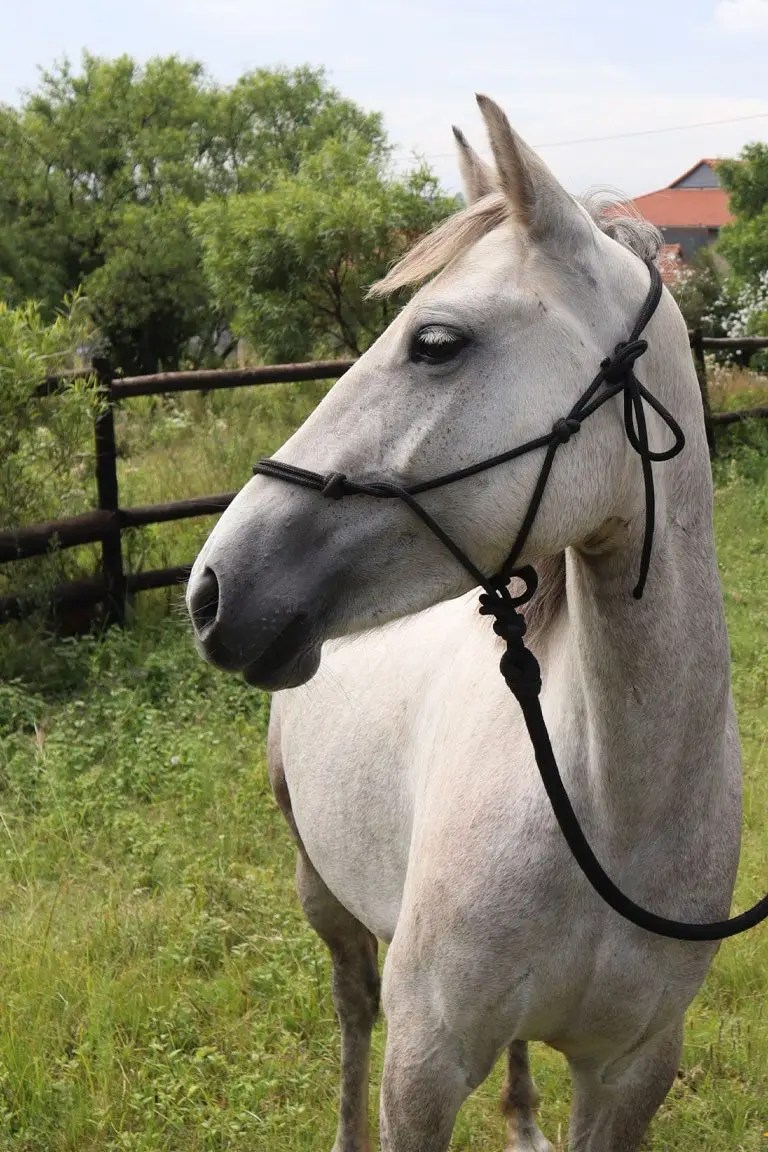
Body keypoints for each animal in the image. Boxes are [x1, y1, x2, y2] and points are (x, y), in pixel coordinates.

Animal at [185, 96, 741, 1151]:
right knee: (351, 1006)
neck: (611, 803)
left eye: (435, 342)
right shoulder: (424, 1066)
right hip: (321, 892)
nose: (211, 589)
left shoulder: (630, 1073)